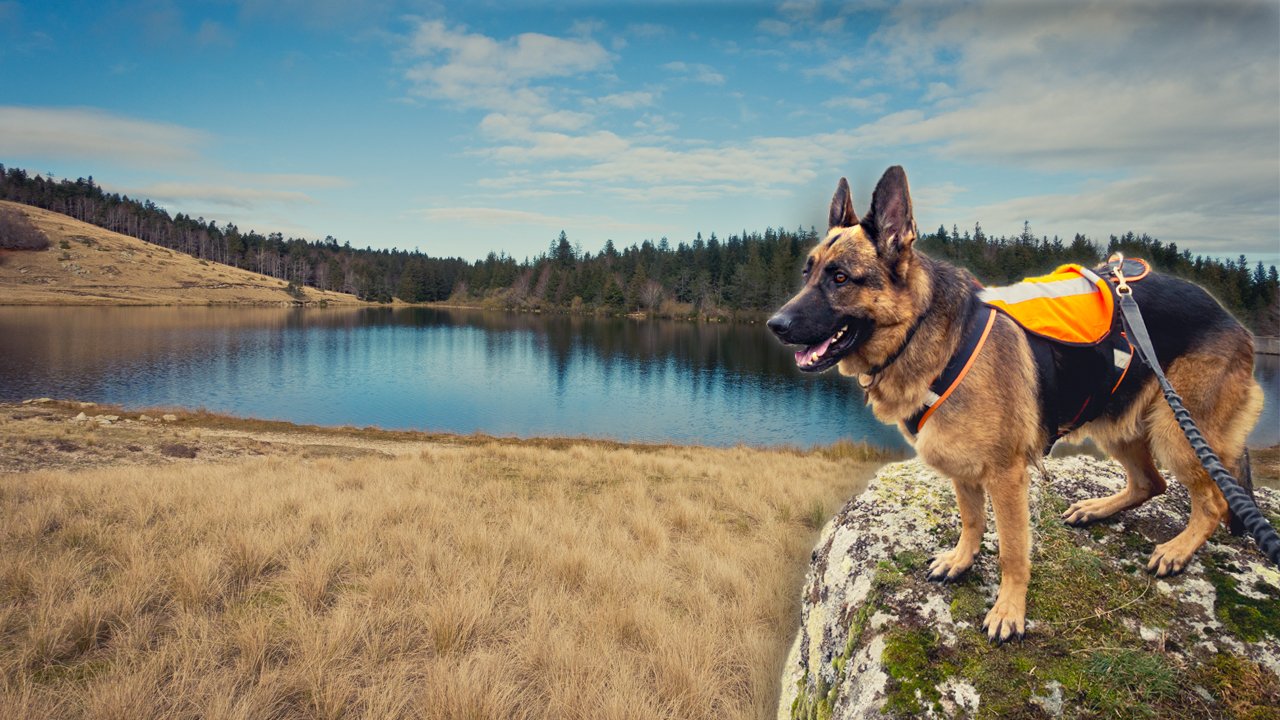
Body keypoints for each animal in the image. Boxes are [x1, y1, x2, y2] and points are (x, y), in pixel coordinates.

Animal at [762, 166, 1264, 638]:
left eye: (840, 278)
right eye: (807, 274)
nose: (774, 325)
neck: (924, 329)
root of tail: (1230, 316)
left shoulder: (1006, 477)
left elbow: (1011, 551)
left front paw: (1009, 611)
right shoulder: (962, 466)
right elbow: (970, 521)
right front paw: (962, 560)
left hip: (1176, 432)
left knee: (1212, 504)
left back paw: (1177, 550)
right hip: (1116, 420)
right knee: (1151, 483)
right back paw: (1097, 509)